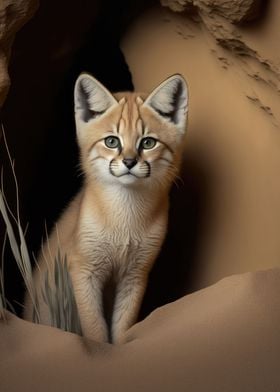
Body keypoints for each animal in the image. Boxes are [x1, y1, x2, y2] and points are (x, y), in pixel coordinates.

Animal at [24, 72, 188, 344]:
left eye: (148, 143)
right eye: (112, 141)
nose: (130, 162)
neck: (125, 220)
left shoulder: (135, 275)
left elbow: (122, 328)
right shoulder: (84, 270)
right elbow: (95, 329)